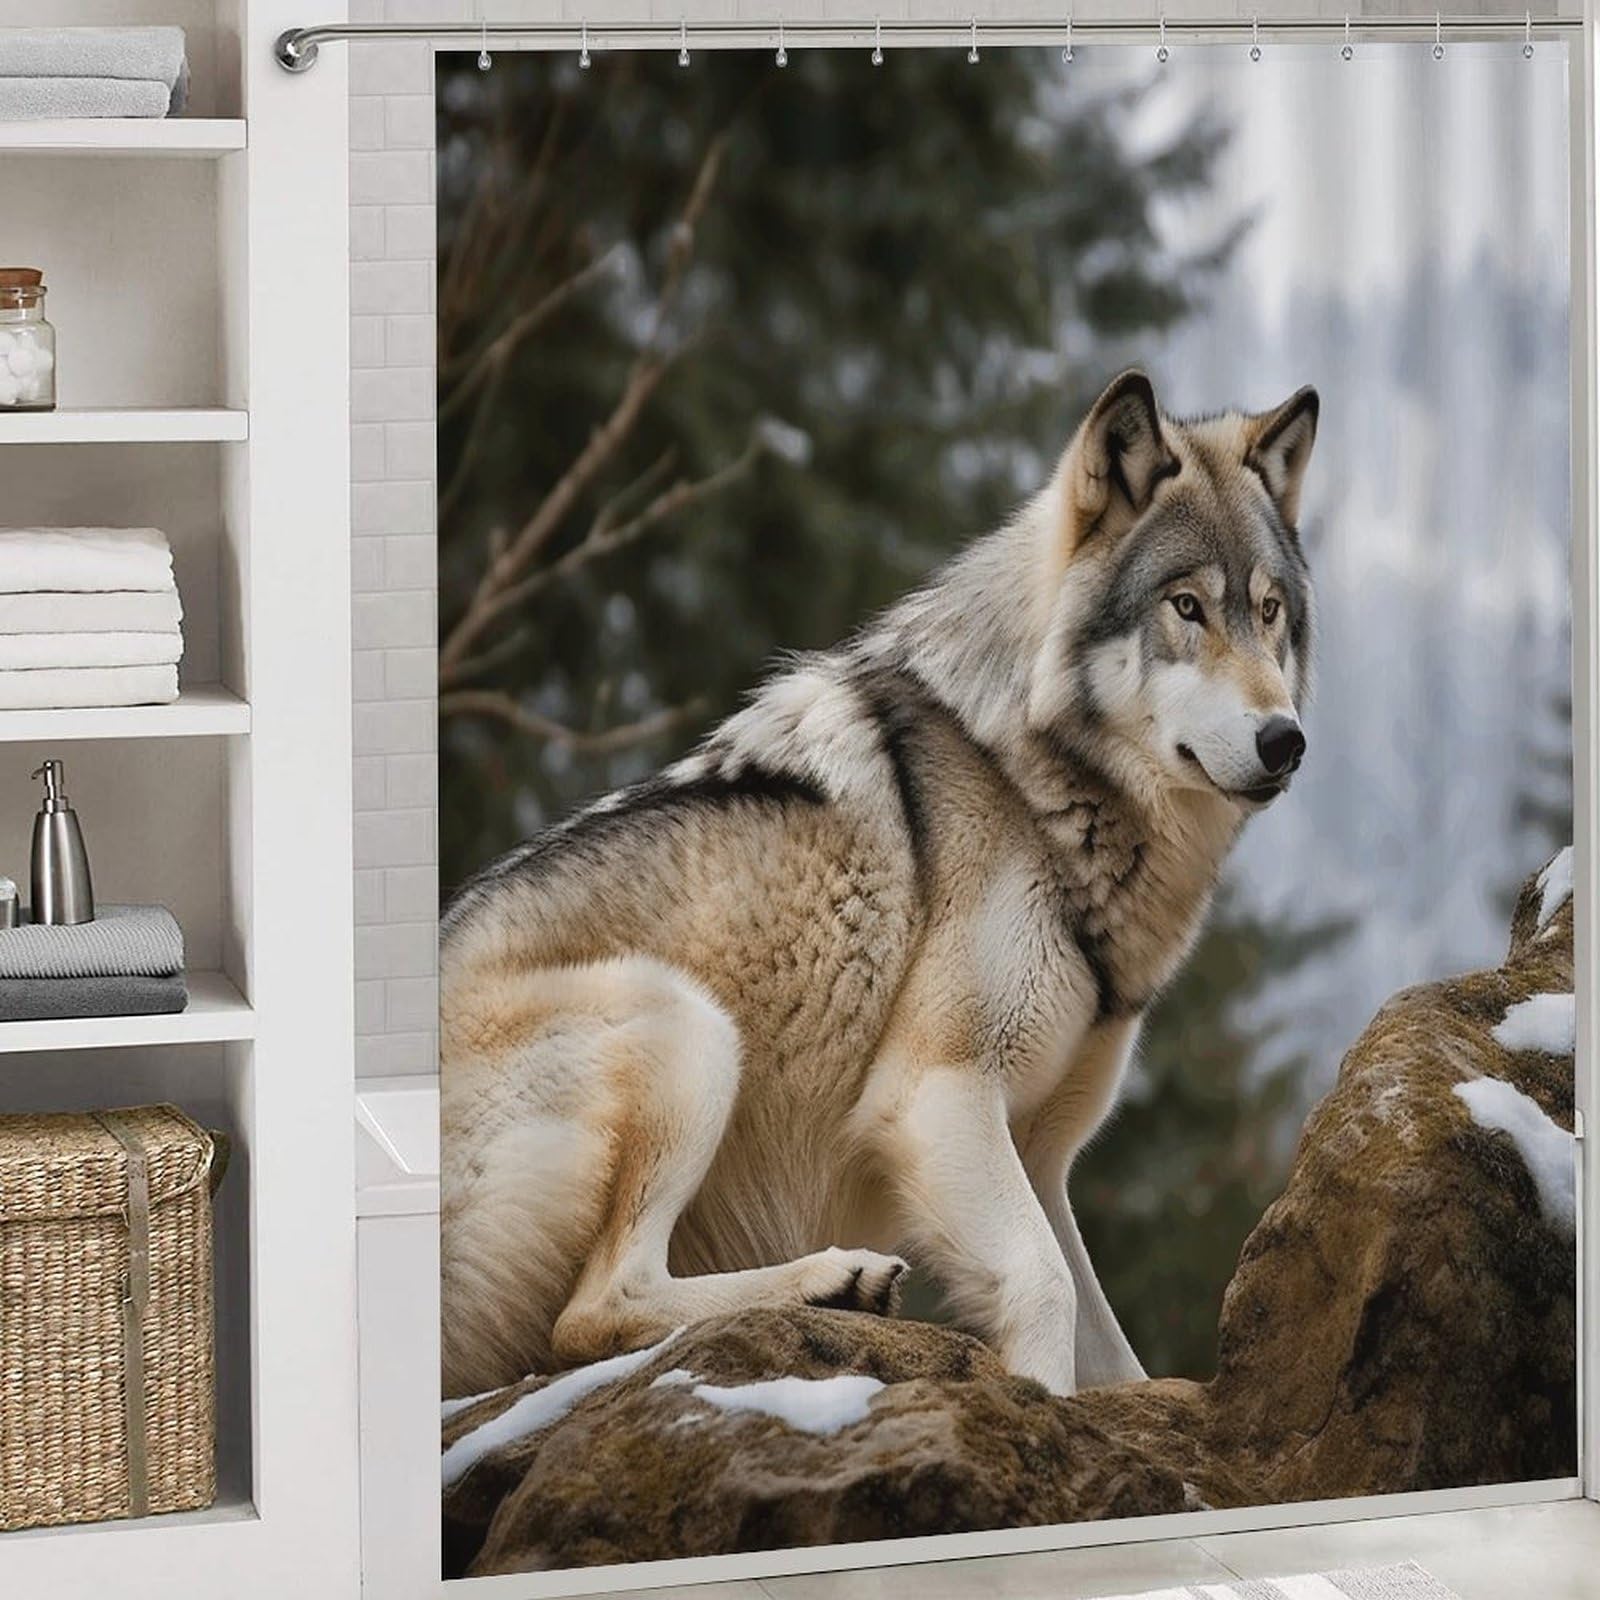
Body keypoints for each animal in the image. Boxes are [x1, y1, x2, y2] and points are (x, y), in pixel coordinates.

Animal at [440, 370, 1318, 1399]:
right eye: (1185, 607)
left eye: (1268, 611)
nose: (1285, 740)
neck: (1029, 782)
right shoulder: (934, 1097)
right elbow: (1046, 1287)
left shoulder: (1039, 1158)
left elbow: (1119, 1359)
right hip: (689, 1022)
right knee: (593, 1312)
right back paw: (828, 1281)